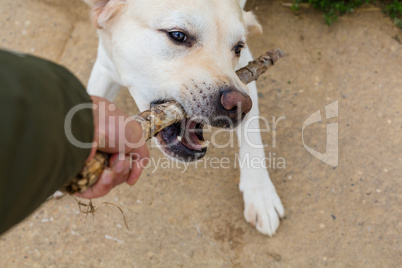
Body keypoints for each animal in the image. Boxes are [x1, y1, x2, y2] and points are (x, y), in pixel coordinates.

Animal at [85, 0, 284, 236]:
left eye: (237, 48)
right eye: (178, 35)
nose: (239, 105)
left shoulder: (246, 70)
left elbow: (252, 134)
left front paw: (260, 193)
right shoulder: (106, 65)